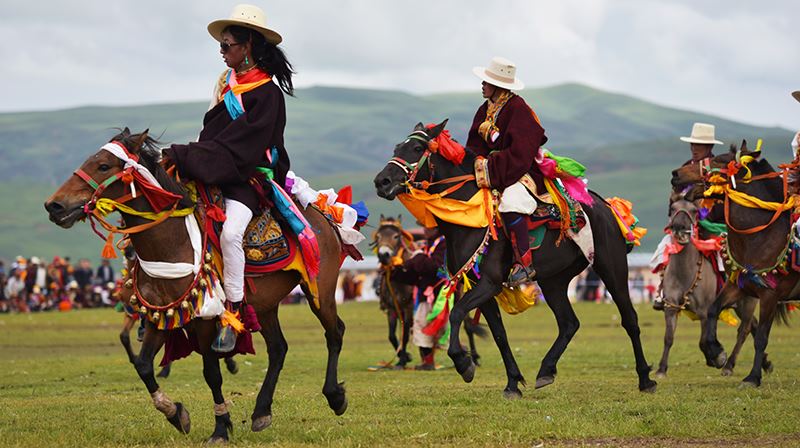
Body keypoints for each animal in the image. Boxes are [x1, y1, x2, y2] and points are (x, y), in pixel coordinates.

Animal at [46, 130, 346, 440]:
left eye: (104, 166)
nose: (54, 205)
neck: (171, 243)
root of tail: (320, 213)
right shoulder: (160, 315)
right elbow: (143, 366)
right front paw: (175, 413)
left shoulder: (204, 319)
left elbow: (211, 373)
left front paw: (221, 428)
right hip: (266, 304)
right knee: (278, 349)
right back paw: (262, 411)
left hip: (320, 290)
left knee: (334, 332)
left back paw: (334, 396)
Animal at [376, 121, 656, 398]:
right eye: (397, 147)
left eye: (416, 148)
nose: (381, 181)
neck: (468, 220)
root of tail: (605, 206)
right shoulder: (480, 286)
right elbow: (498, 333)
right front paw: (512, 382)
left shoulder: (488, 282)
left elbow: (456, 314)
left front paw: (464, 363)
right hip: (553, 281)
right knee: (569, 323)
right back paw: (546, 370)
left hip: (610, 266)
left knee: (629, 319)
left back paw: (645, 378)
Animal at [656, 198, 768, 376]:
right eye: (673, 208)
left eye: (694, 210)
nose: (680, 228)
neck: (684, 273)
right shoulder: (671, 308)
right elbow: (668, 338)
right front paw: (661, 369)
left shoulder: (703, 312)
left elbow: (702, 341)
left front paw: (718, 357)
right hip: (739, 306)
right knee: (753, 325)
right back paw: (766, 363)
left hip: (748, 302)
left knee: (744, 330)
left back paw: (729, 365)